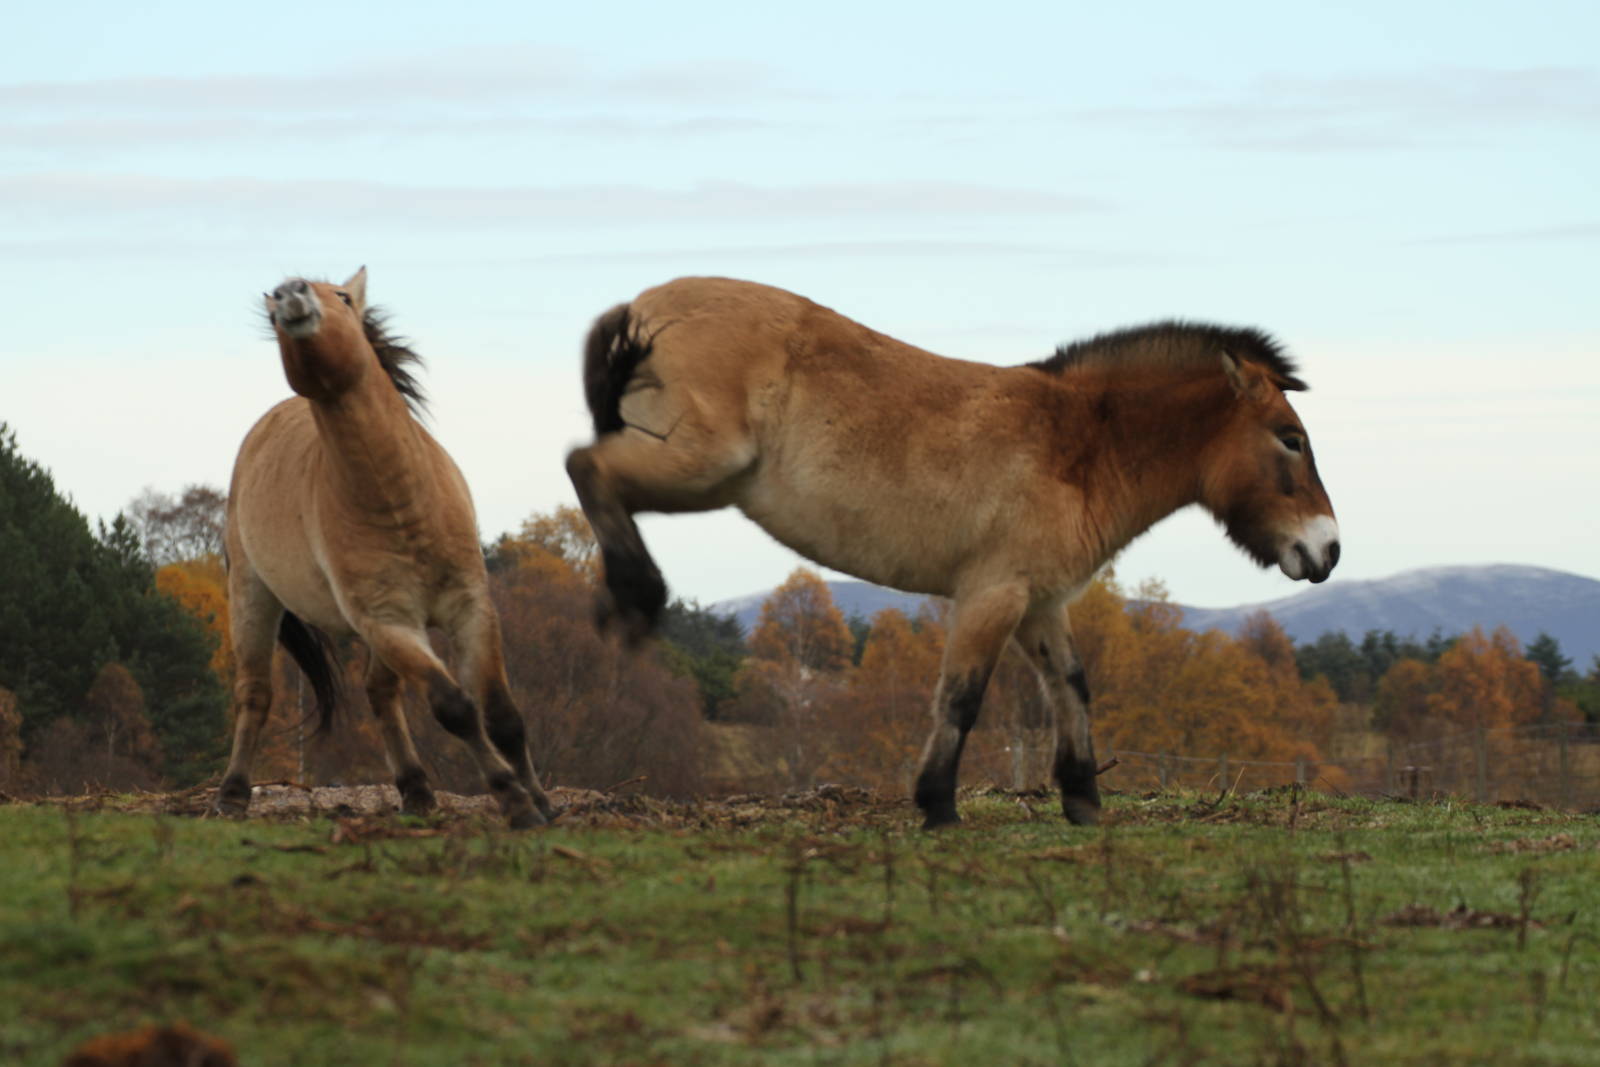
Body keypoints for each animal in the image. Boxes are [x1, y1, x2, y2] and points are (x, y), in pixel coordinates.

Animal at [217, 267, 554, 828]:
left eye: (343, 297)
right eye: (272, 312)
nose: (291, 294)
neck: (399, 499)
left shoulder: (471, 608)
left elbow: (502, 714)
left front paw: (542, 801)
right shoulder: (390, 623)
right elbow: (456, 708)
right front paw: (513, 799)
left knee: (381, 692)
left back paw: (416, 790)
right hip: (252, 596)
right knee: (255, 694)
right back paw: (232, 794)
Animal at [566, 276, 1340, 829]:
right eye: (1291, 438)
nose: (1327, 549)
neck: (1077, 445)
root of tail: (648, 305)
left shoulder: (1039, 603)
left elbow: (1072, 686)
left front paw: (1082, 799)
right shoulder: (991, 595)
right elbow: (962, 696)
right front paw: (938, 804)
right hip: (700, 465)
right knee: (586, 465)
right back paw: (635, 598)